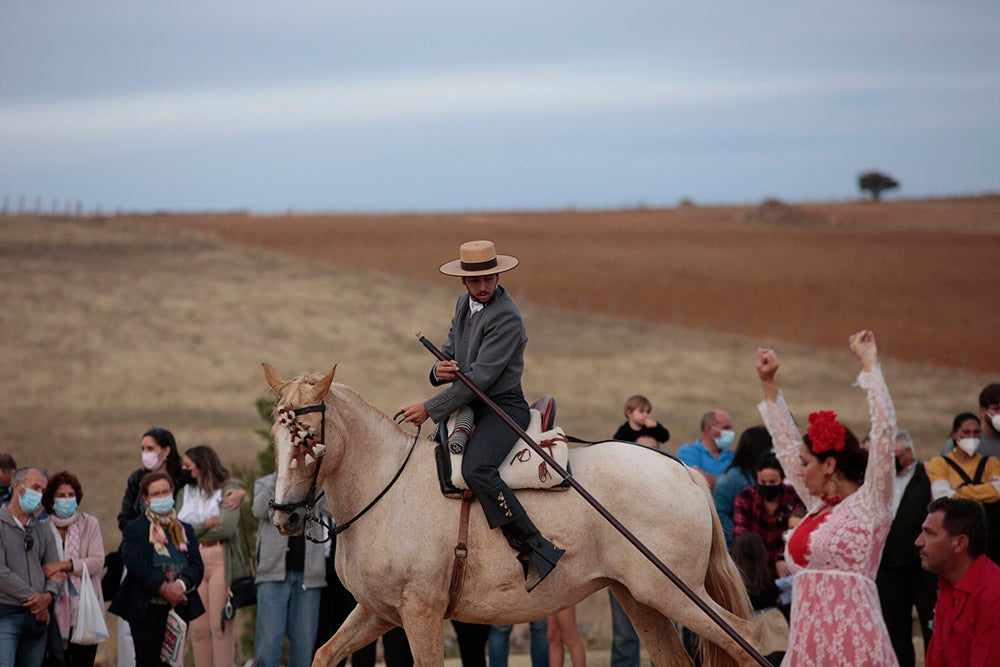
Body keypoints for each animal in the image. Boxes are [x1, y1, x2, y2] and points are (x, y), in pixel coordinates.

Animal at [262, 366, 760, 667]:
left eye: (307, 436)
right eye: (277, 434)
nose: (285, 518)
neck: (384, 486)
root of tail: (684, 472)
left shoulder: (420, 612)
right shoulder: (377, 611)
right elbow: (325, 654)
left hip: (676, 593)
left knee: (742, 635)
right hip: (642, 598)